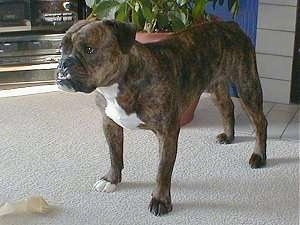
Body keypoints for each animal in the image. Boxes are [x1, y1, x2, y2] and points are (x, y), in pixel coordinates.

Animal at [56, 19, 268, 216]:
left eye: (89, 49)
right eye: (61, 49)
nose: (64, 63)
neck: (120, 83)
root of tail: (231, 25)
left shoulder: (167, 133)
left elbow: (163, 170)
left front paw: (160, 201)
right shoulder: (110, 124)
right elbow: (114, 155)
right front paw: (111, 180)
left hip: (247, 86)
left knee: (260, 122)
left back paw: (259, 156)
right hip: (215, 85)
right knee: (227, 106)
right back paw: (229, 136)